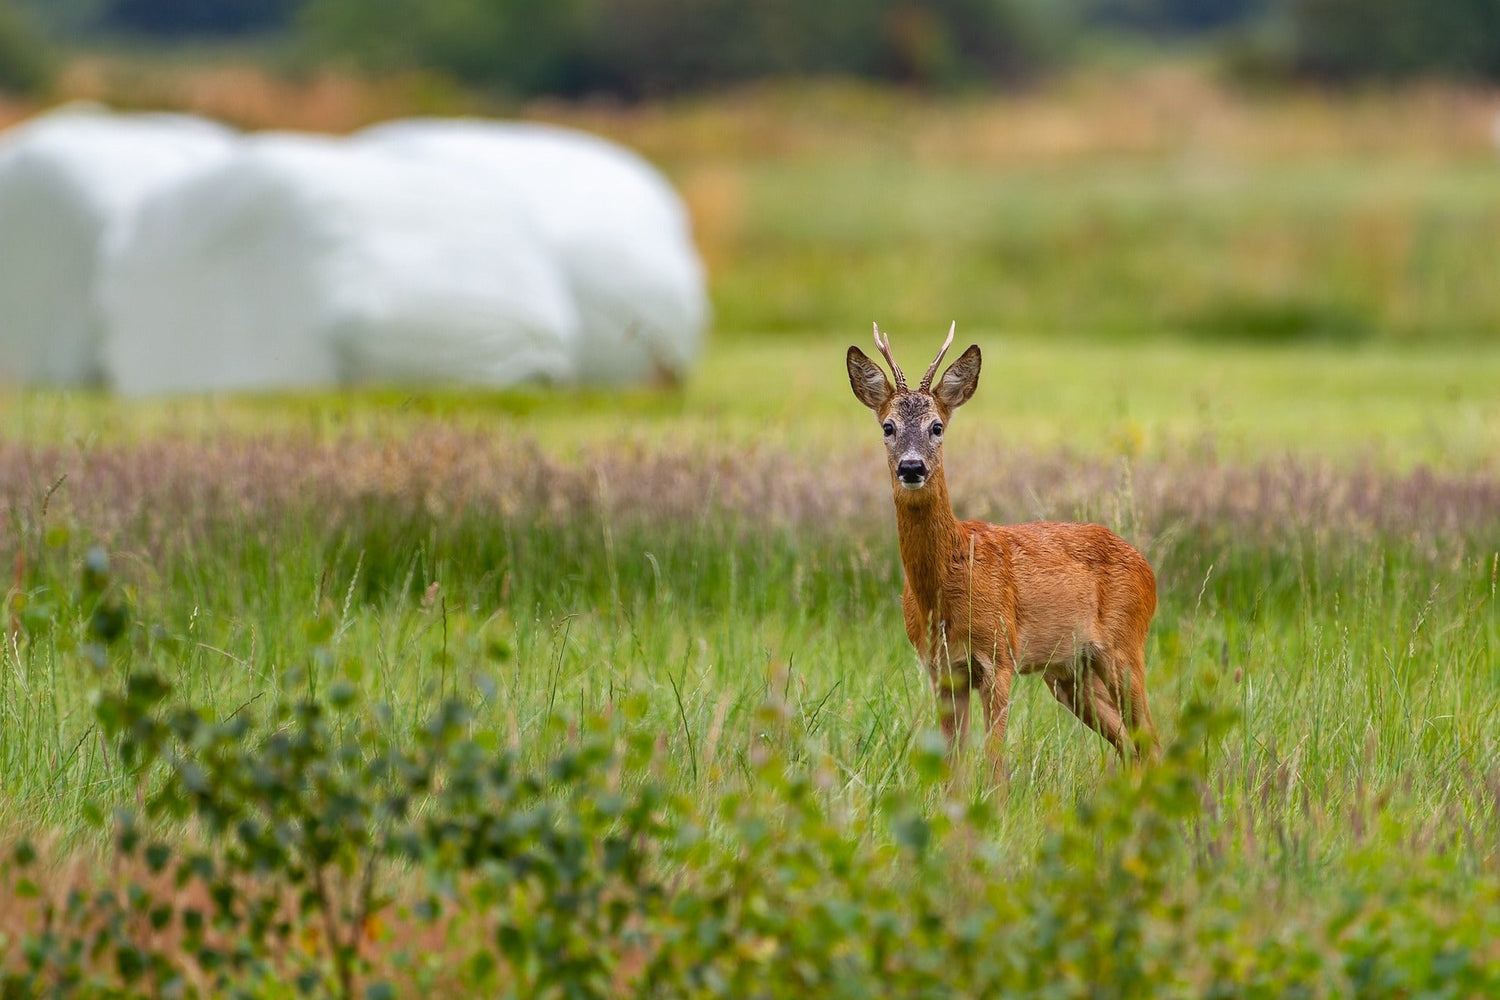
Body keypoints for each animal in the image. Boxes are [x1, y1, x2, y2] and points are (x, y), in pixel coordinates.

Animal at [852, 325, 1152, 779]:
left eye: (937, 426)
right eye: (888, 426)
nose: (912, 467)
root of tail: (1147, 569)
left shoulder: (1000, 656)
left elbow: (994, 759)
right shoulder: (941, 669)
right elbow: (952, 764)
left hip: (1125, 647)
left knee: (1151, 736)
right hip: (1070, 673)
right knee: (1129, 742)